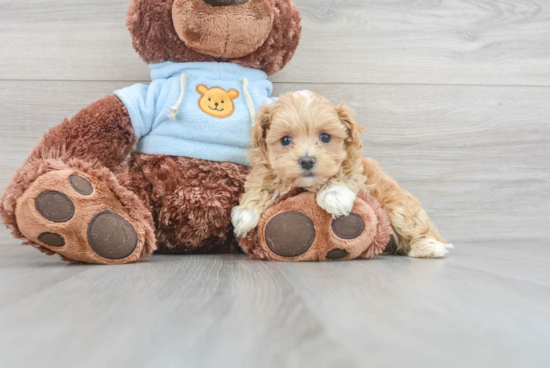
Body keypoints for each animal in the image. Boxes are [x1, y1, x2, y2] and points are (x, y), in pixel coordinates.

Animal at [233, 91, 452, 258]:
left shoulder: (357, 166)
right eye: (285, 140)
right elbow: (259, 183)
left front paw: (335, 196)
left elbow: (345, 171)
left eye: (325, 137)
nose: (307, 160)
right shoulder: (264, 168)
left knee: (413, 223)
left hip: (396, 205)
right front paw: (245, 214)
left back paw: (430, 247)